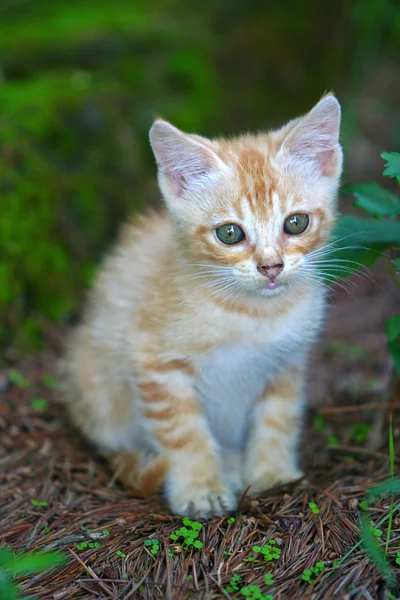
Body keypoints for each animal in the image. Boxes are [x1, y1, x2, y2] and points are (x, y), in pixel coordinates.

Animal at [62, 96, 344, 516]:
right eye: (229, 233)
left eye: (296, 223)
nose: (271, 266)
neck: (254, 315)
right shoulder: (155, 362)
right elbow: (184, 434)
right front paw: (201, 489)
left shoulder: (287, 362)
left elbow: (278, 419)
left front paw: (273, 474)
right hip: (94, 387)